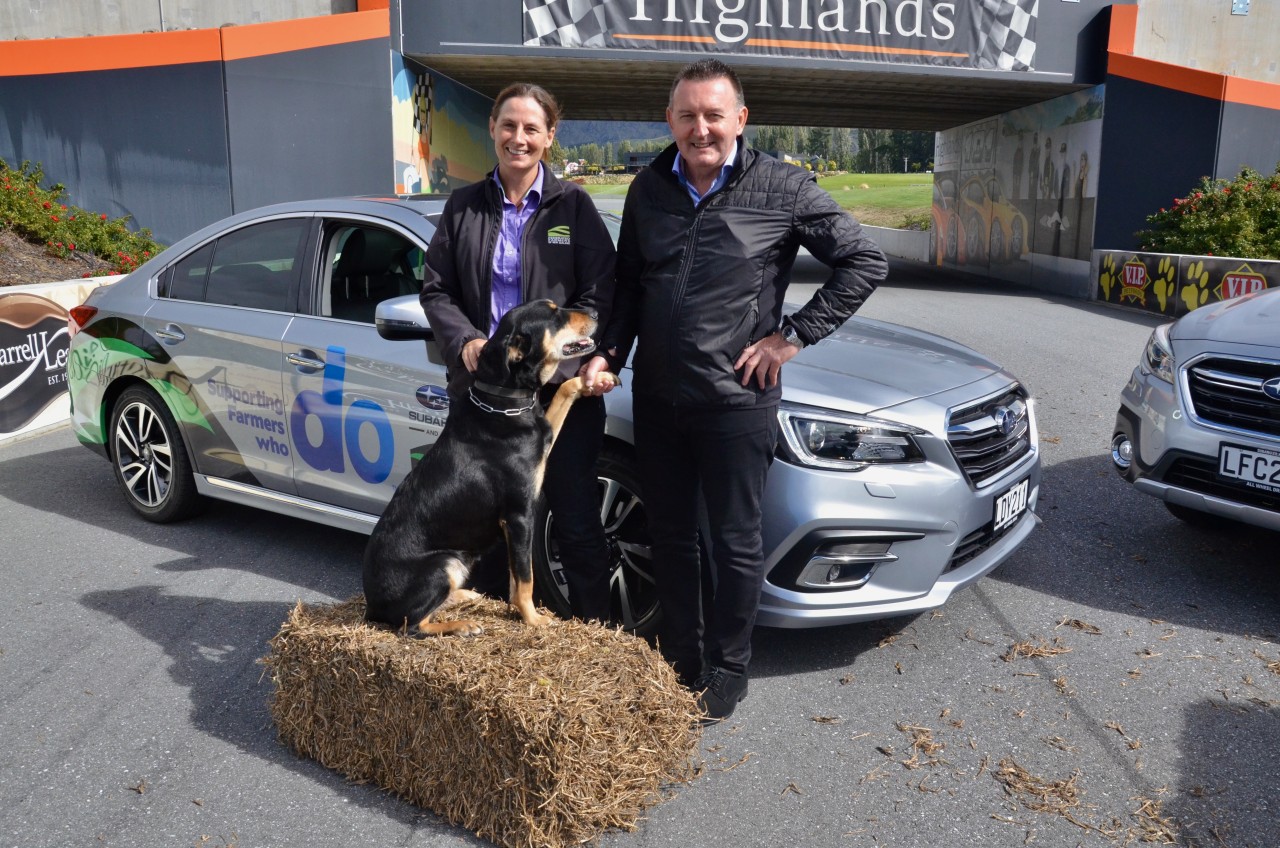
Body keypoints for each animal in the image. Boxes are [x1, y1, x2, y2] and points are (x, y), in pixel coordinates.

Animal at [360, 301, 619, 637]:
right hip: (444, 563)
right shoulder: (519, 516)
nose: (597, 314)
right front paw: (533, 619)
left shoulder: (544, 440)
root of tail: (372, 606)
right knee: (413, 625)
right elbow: (525, 578)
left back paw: (463, 596)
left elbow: (563, 389)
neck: (503, 398)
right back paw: (463, 624)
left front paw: (596, 378)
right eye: (553, 314)